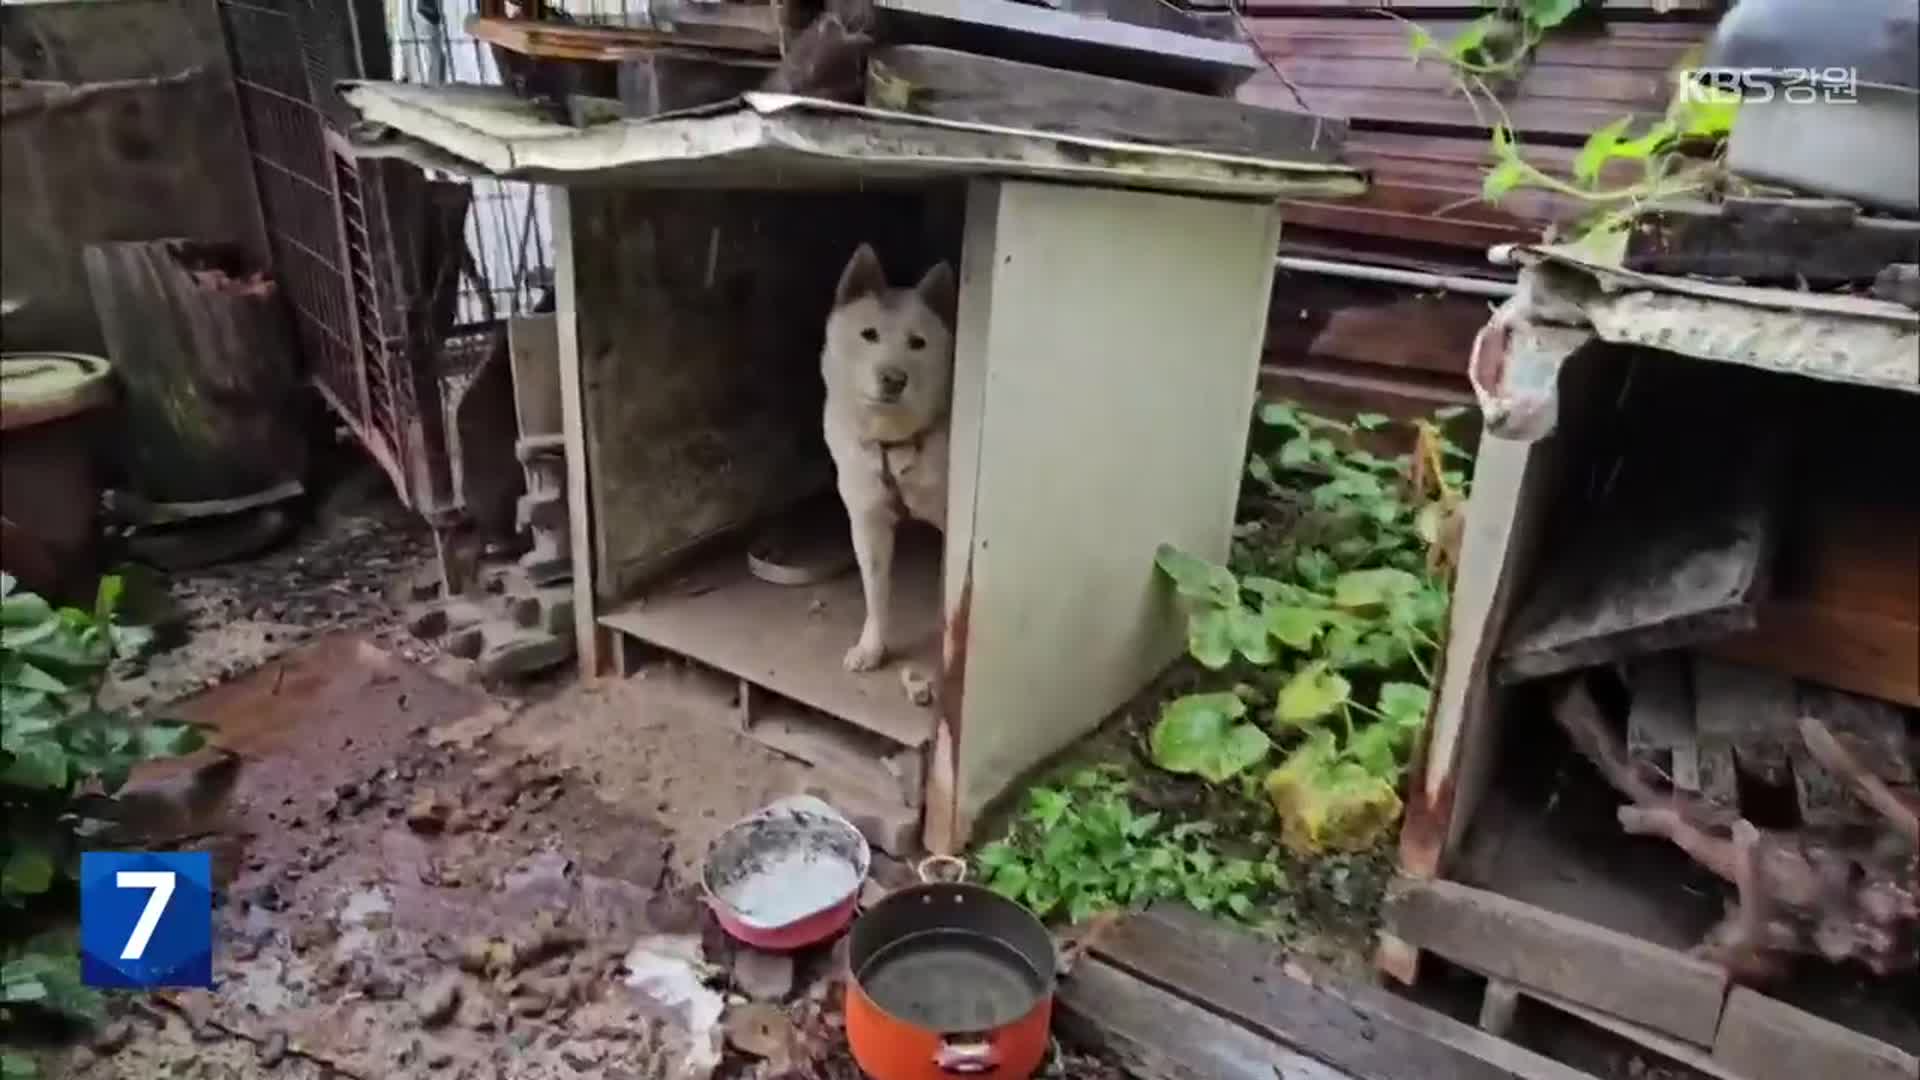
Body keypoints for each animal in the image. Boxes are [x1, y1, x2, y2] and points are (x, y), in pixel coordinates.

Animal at [817, 242, 952, 672]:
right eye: (869, 335)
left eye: (918, 343)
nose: (894, 379)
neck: (894, 443)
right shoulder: (867, 521)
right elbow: (875, 592)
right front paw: (872, 647)